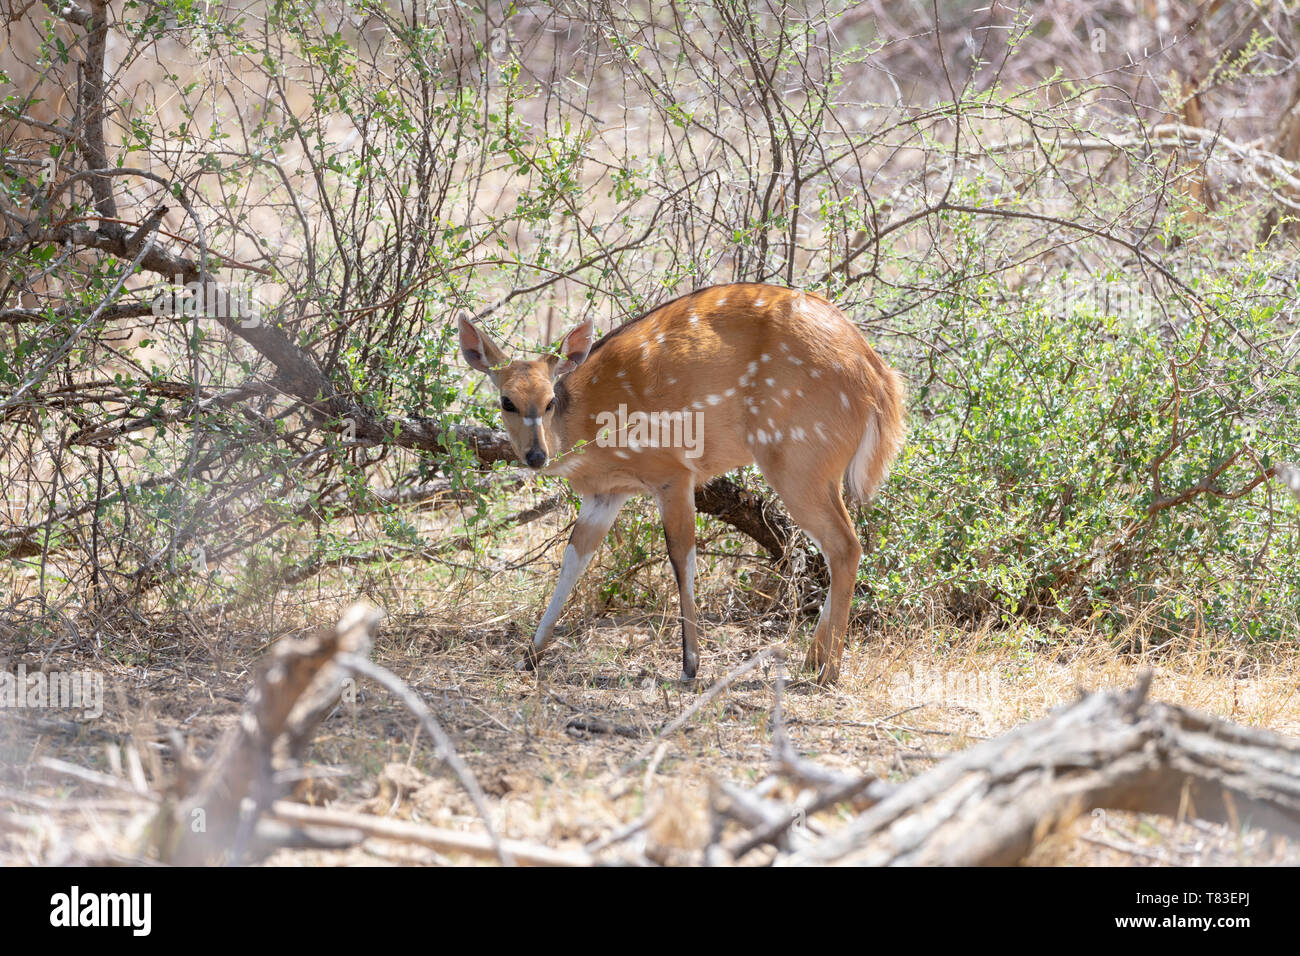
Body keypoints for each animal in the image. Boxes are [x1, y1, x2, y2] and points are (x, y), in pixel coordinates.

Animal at [465, 280, 904, 686]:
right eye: (507, 401)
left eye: (549, 401)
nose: (536, 456)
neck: (587, 423)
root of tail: (879, 377)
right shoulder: (606, 493)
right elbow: (573, 562)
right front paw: (529, 655)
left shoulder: (672, 474)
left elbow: (682, 559)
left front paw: (690, 665)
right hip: (813, 470)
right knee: (841, 549)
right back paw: (812, 660)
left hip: (797, 464)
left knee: (845, 546)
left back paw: (828, 672)